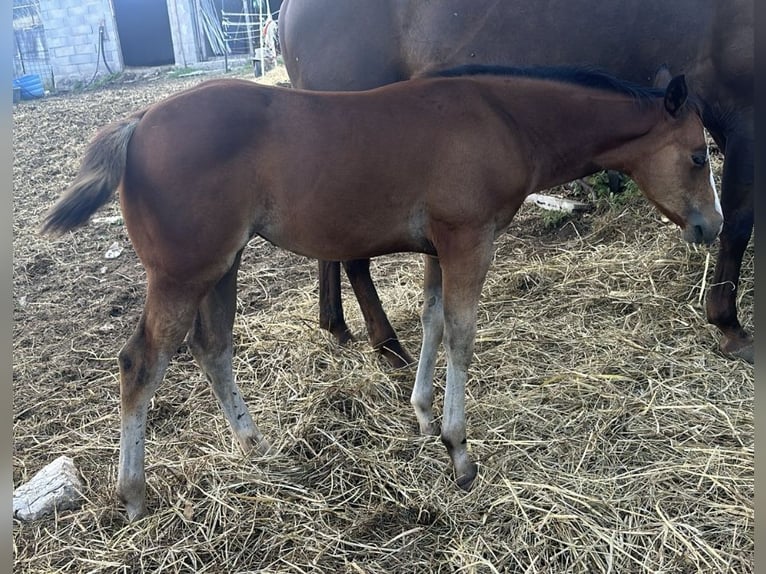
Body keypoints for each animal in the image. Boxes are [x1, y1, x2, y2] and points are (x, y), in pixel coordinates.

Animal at [43, 67, 728, 520]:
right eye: (699, 155)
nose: (712, 227)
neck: (502, 119)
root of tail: (138, 123)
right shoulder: (469, 238)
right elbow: (461, 335)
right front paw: (458, 451)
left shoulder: (440, 247)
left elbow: (431, 322)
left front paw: (423, 416)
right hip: (184, 272)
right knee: (141, 363)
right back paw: (134, 495)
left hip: (223, 263)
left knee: (212, 347)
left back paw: (260, 451)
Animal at [280, 0, 756, 366]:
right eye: (697, 157)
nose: (706, 225)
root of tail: (287, 12)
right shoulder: (745, 115)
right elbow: (742, 222)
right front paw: (731, 327)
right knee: (353, 257)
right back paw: (389, 347)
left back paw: (338, 327)